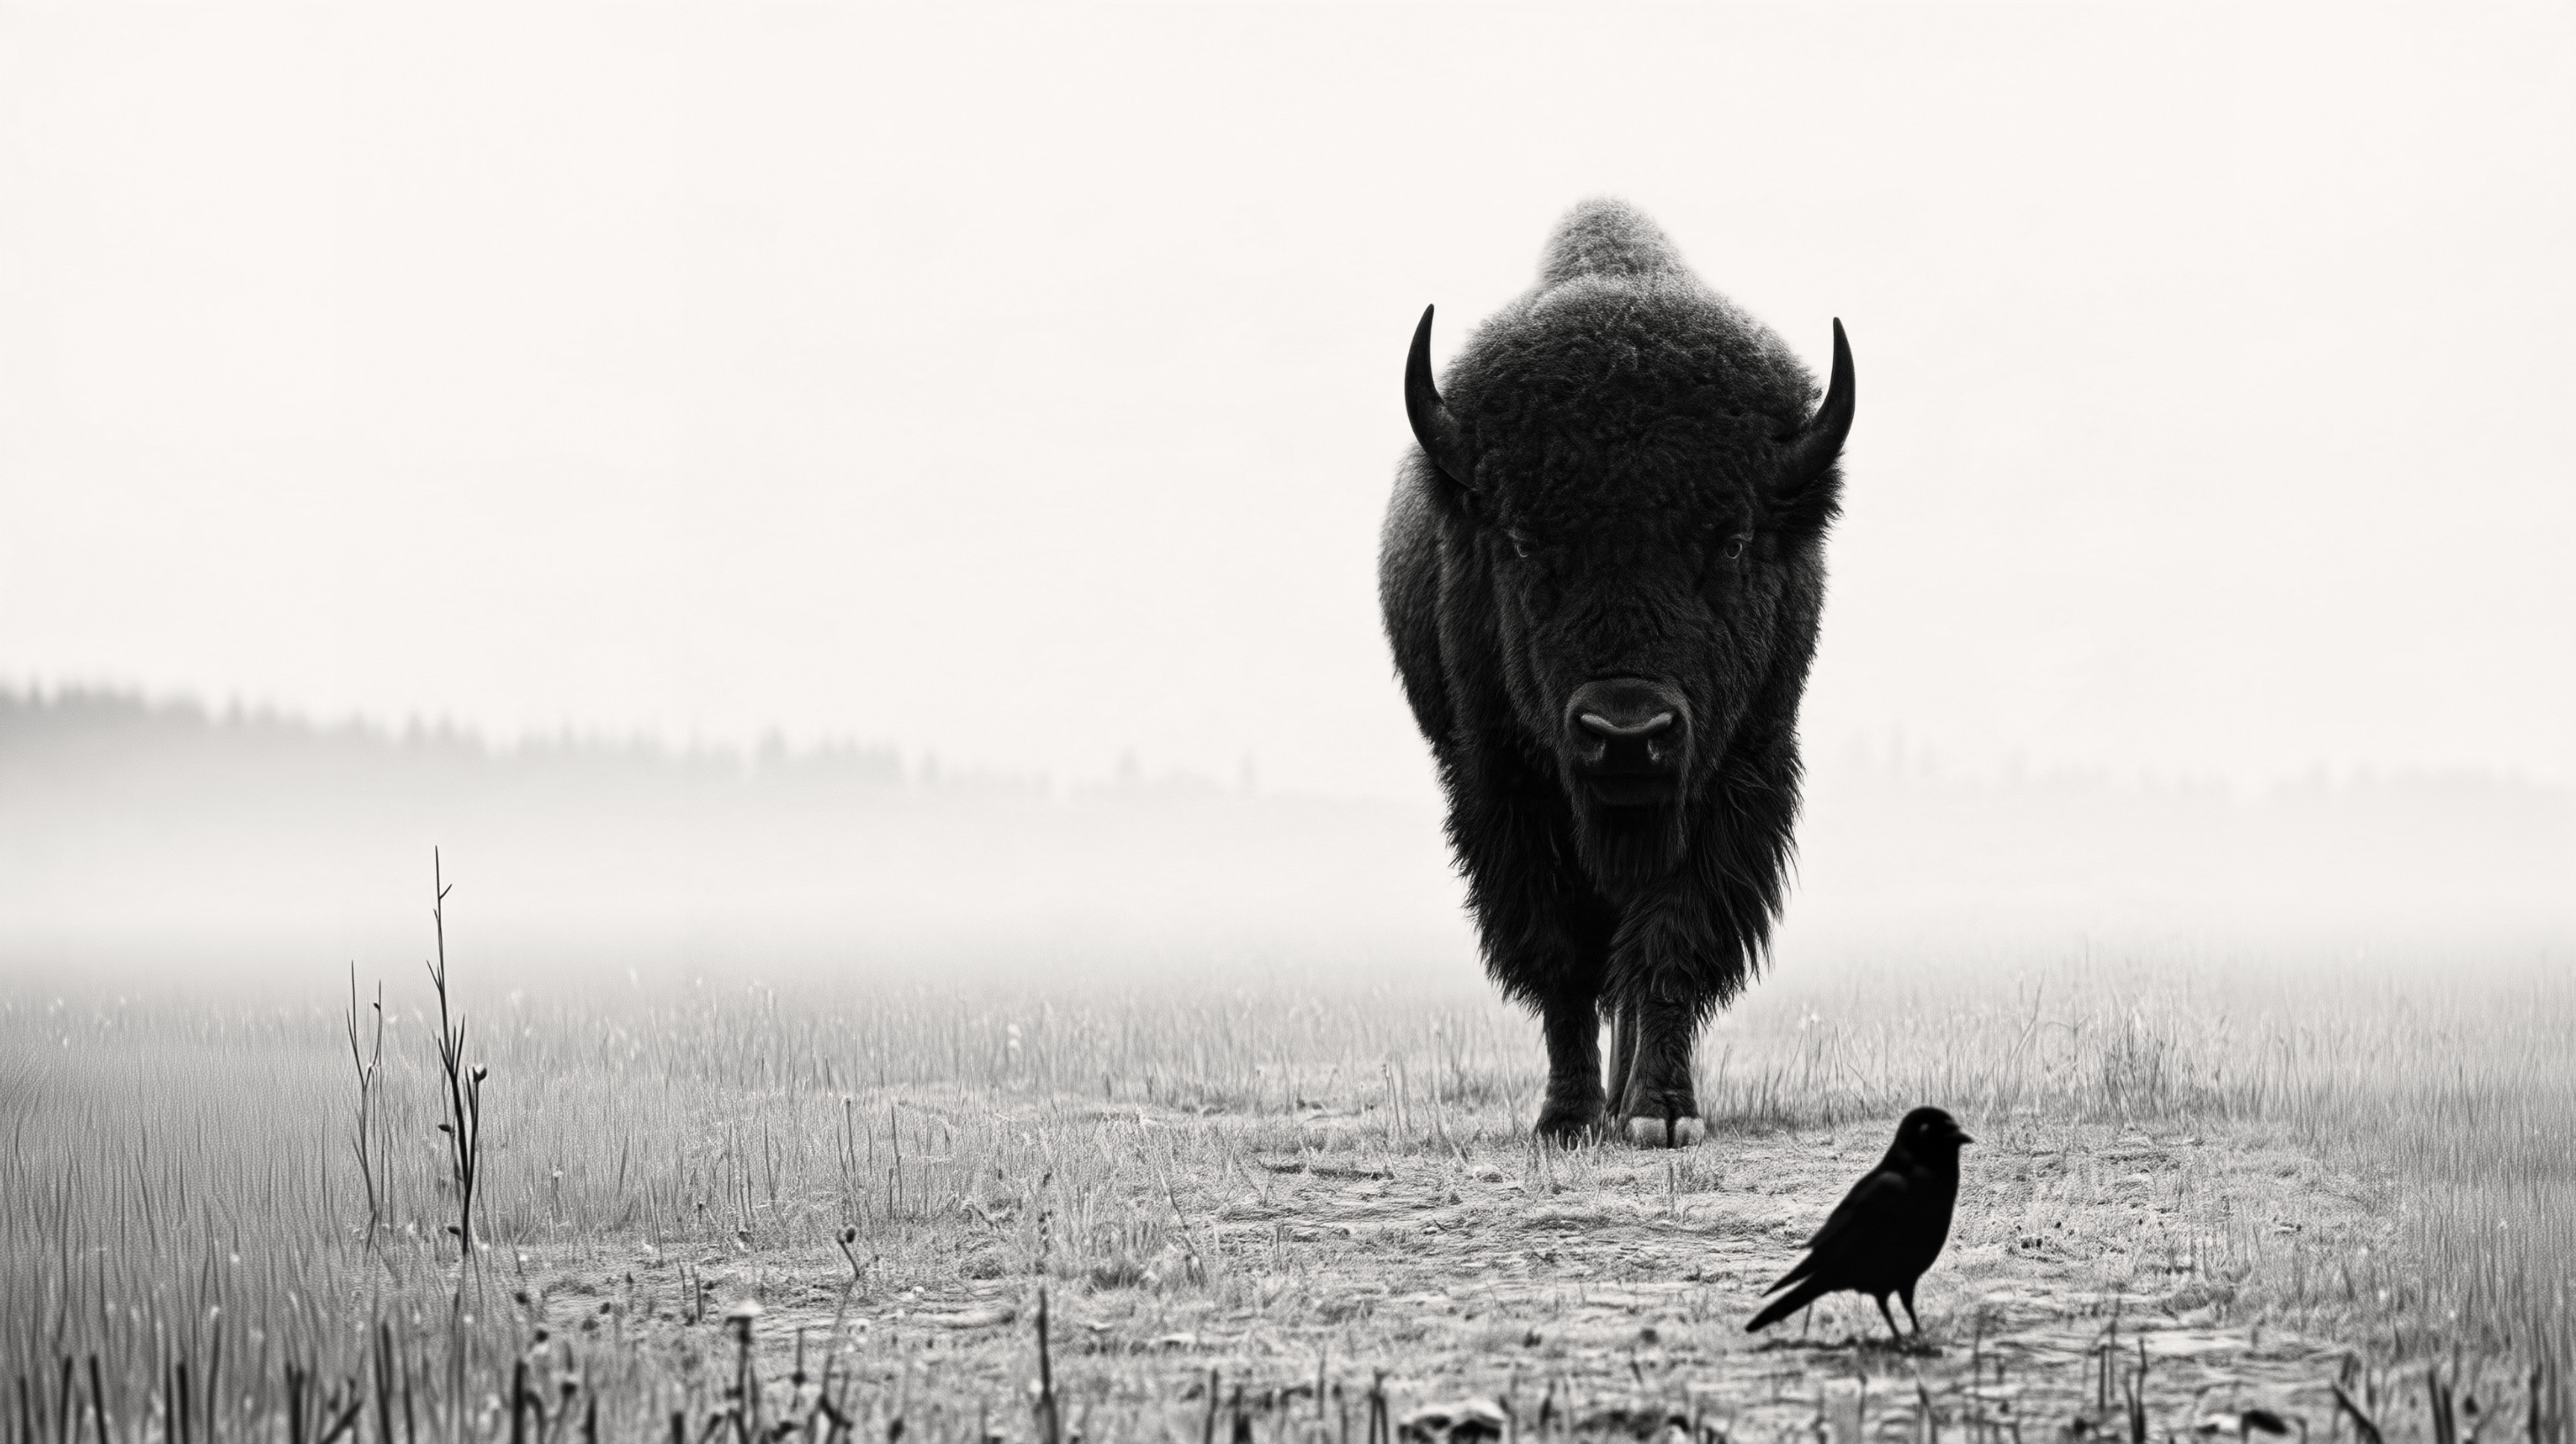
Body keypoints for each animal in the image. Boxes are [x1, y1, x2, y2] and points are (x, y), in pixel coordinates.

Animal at [1378, 198, 1854, 1146]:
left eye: (1732, 540)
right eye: (1524, 540)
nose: (1627, 732)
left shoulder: (1736, 781)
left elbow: (1672, 942)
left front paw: (1662, 1115)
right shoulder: (1507, 791)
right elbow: (1560, 957)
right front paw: (1567, 1117)